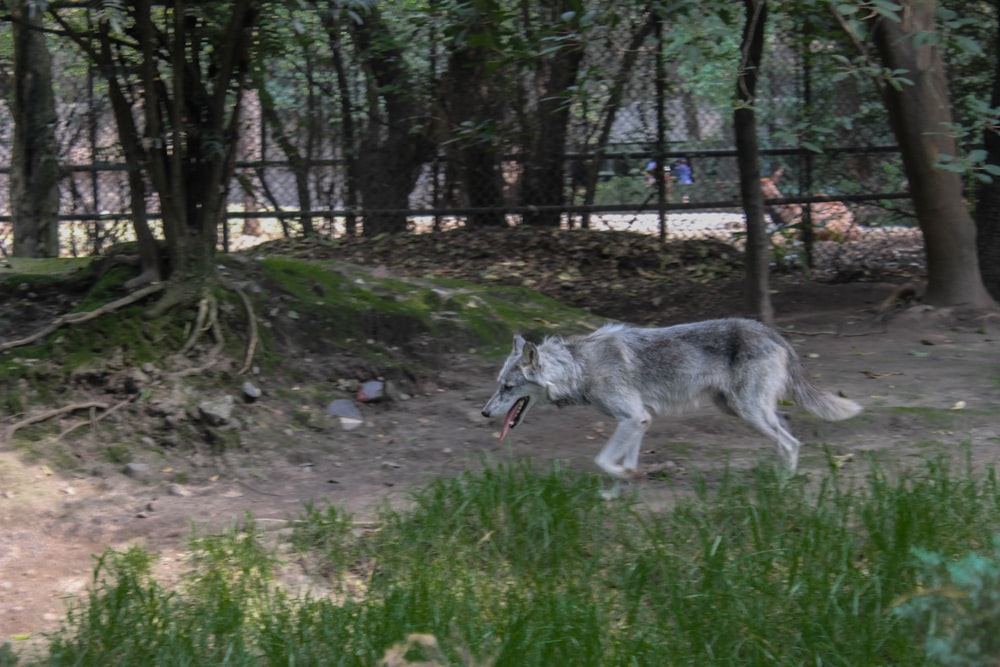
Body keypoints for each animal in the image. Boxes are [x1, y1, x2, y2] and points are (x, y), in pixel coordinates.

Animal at [482, 318, 860, 490]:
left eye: (507, 387)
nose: (485, 412)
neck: (579, 368)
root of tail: (771, 331)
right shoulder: (640, 420)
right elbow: (623, 462)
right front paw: (625, 486)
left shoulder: (633, 417)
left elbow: (602, 460)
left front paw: (623, 479)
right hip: (743, 409)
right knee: (787, 432)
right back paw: (776, 474)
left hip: (749, 411)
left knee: (792, 442)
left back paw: (783, 484)